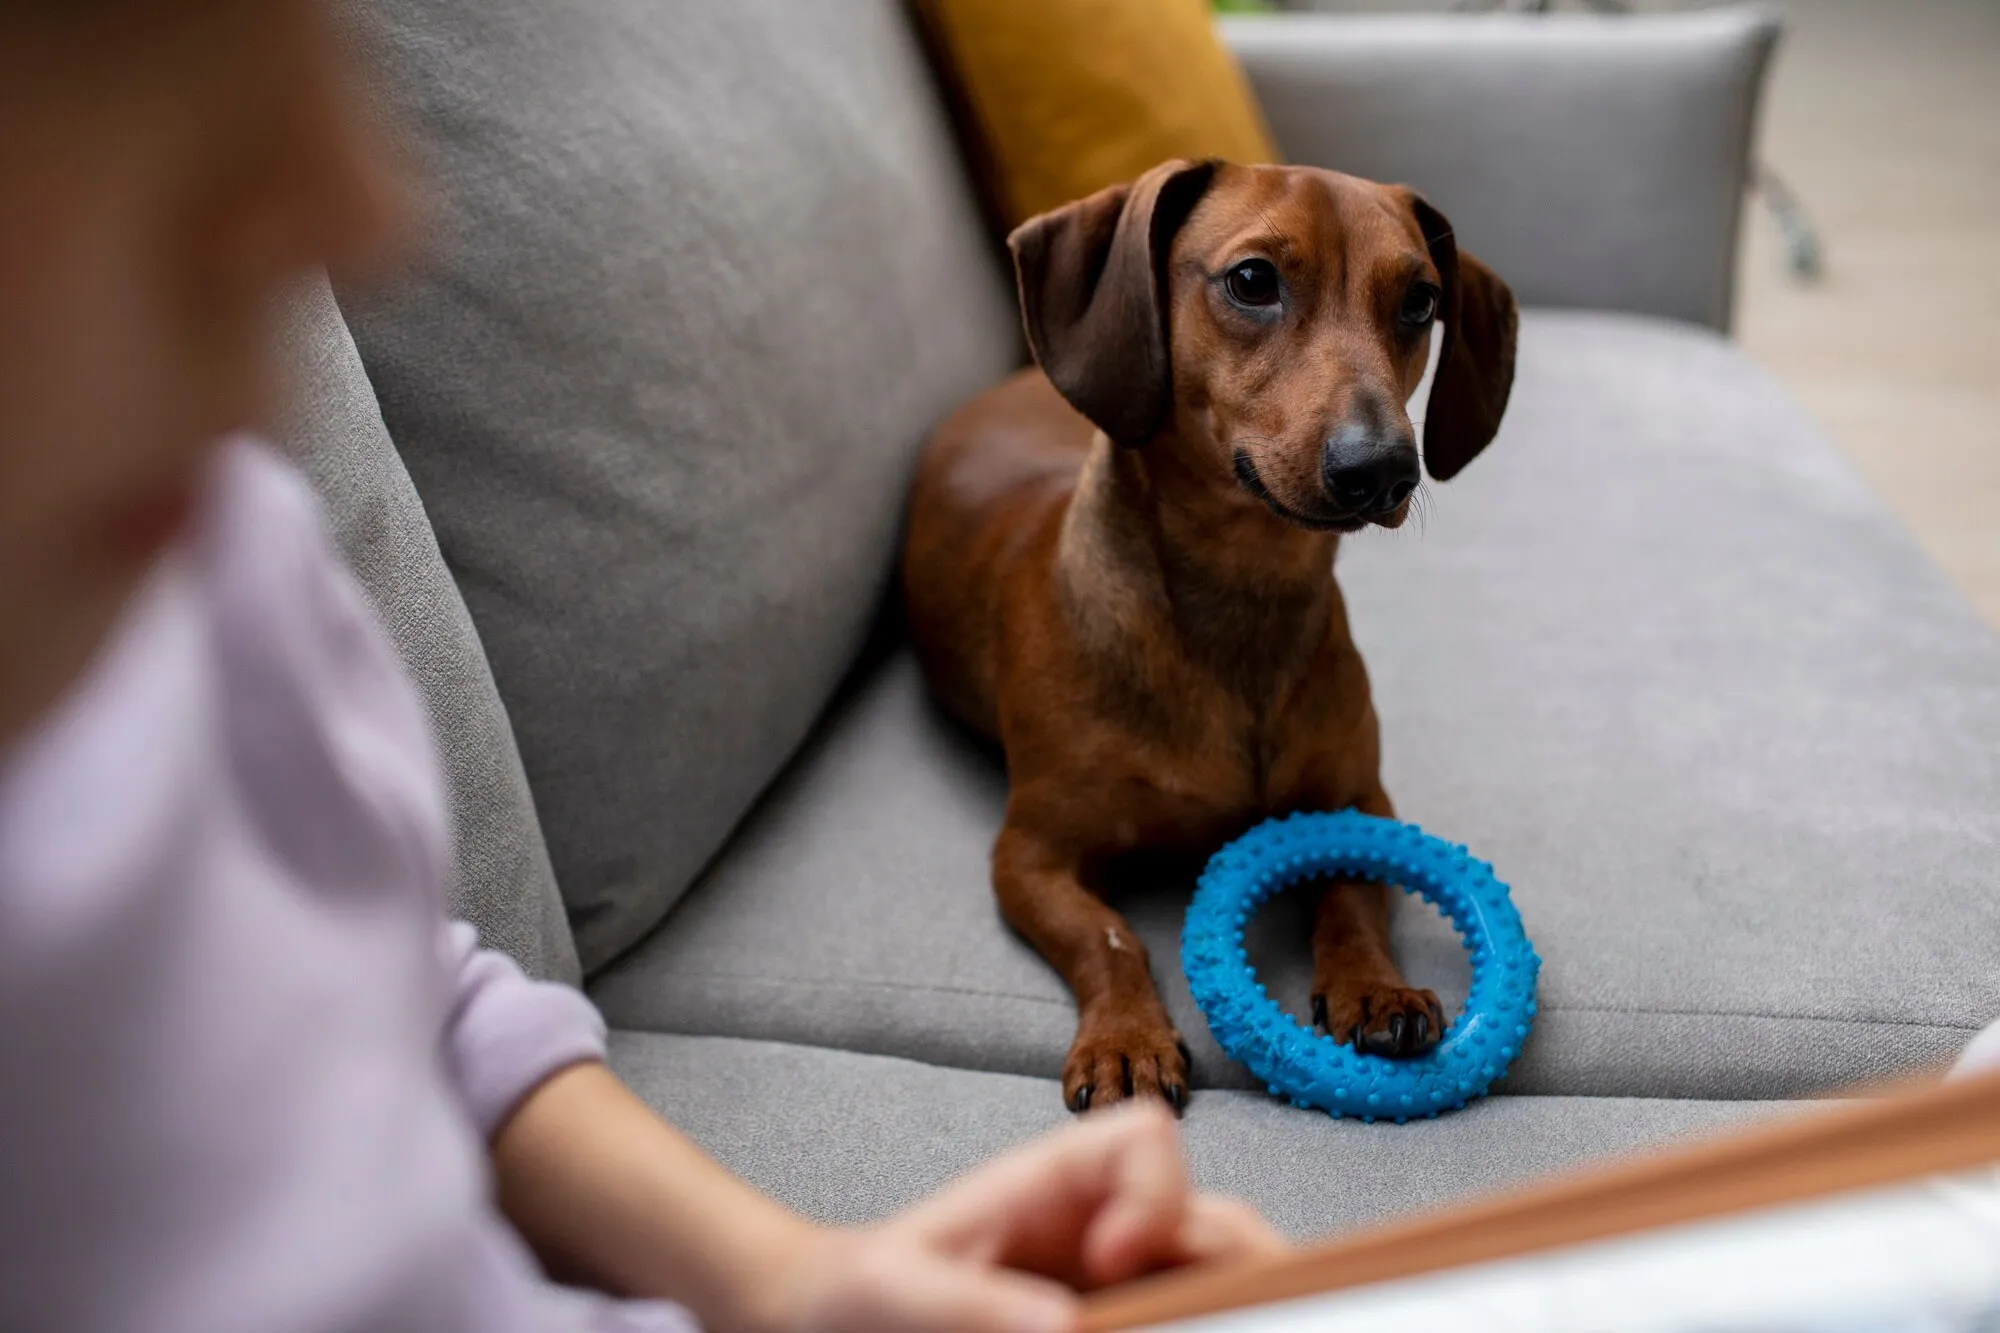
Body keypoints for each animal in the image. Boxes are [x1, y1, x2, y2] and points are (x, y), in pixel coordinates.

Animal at [908, 156, 1512, 1112]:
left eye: (1420, 300)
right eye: (1253, 280)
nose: (1383, 468)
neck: (1242, 605)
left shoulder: (1360, 801)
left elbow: (1350, 896)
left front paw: (1373, 987)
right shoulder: (1030, 857)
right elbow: (1108, 936)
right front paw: (1125, 1038)